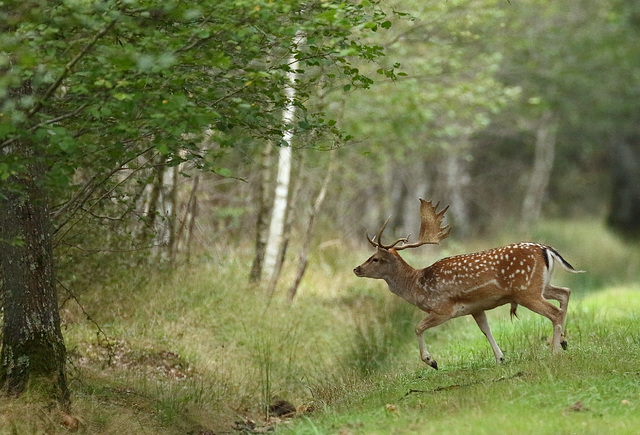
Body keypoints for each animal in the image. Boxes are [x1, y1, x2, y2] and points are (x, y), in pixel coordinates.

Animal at [352, 199, 584, 370]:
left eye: (375, 258)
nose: (357, 268)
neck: (417, 285)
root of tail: (546, 249)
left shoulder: (443, 308)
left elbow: (417, 327)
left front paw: (431, 361)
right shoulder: (476, 307)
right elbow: (485, 329)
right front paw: (500, 358)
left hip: (527, 291)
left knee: (554, 311)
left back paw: (554, 351)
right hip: (540, 286)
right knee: (565, 292)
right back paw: (563, 341)